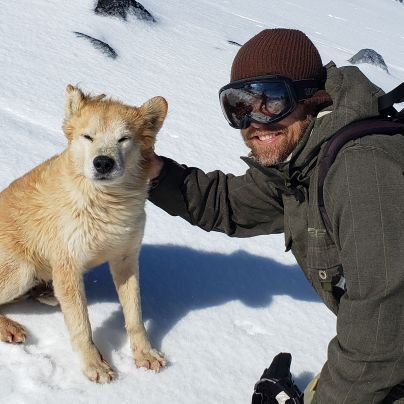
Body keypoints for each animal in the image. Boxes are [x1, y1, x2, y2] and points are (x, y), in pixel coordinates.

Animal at [0, 85, 167, 382]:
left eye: (124, 139)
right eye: (88, 136)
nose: (103, 163)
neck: (105, 203)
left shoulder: (126, 260)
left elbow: (135, 317)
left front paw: (144, 353)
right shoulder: (68, 266)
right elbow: (82, 327)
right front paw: (94, 364)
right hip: (21, 270)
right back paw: (9, 326)